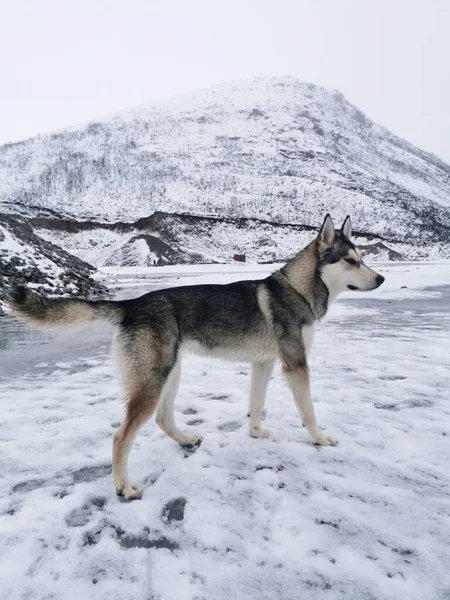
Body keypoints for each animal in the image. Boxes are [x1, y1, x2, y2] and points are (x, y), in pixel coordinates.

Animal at [8, 213, 384, 500]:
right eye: (350, 261)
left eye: (363, 259)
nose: (381, 278)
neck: (298, 290)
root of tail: (129, 304)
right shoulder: (296, 365)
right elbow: (308, 412)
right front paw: (319, 438)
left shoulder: (263, 364)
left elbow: (256, 406)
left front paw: (255, 434)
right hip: (153, 382)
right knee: (120, 437)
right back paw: (123, 487)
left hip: (171, 373)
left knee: (163, 419)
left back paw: (186, 439)